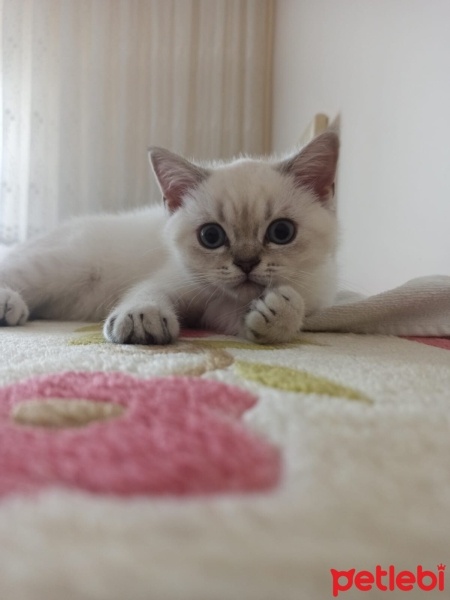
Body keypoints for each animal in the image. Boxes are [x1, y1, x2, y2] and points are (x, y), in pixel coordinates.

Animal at [0, 133, 338, 344]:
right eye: (211, 236)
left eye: (281, 232)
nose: (246, 262)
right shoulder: (171, 278)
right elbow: (148, 293)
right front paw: (141, 317)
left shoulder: (218, 313)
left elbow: (282, 313)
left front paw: (278, 311)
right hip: (62, 266)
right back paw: (8, 304)